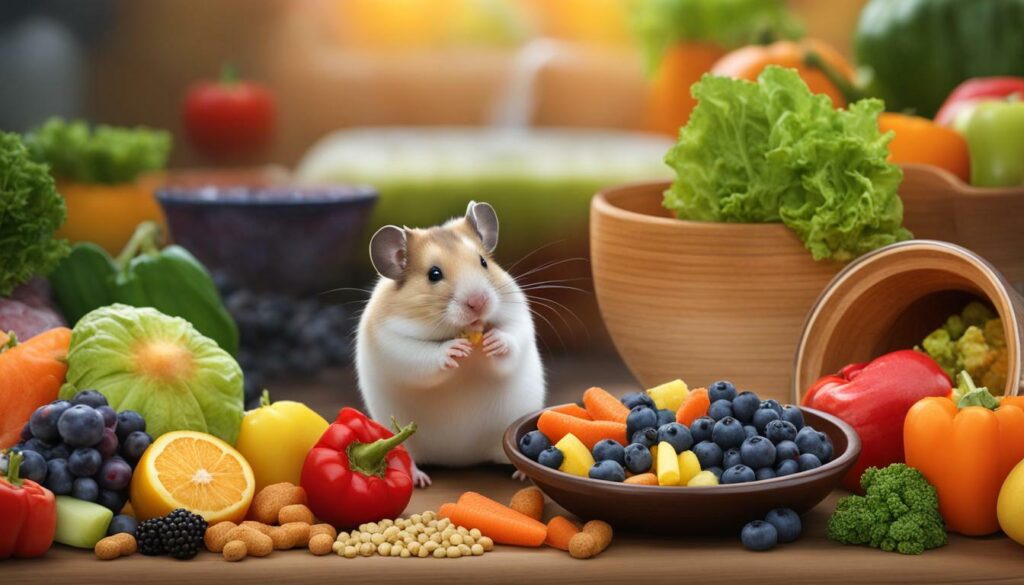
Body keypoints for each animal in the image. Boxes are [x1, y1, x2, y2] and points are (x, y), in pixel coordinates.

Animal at [356, 201, 546, 487]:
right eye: (434, 274)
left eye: (483, 262)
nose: (479, 302)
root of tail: (460, 460)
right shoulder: (392, 344)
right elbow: (421, 356)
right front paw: (455, 350)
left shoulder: (519, 318)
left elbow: (512, 336)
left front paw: (493, 342)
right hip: (400, 438)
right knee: (405, 455)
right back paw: (419, 479)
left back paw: (521, 473)